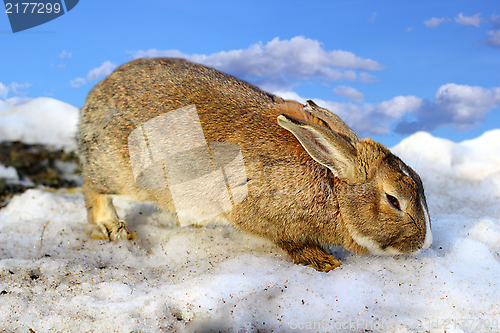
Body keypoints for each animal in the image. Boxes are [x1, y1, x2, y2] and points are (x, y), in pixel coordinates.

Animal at [78, 56, 434, 270]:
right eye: (393, 200)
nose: (427, 243)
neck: (332, 189)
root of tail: (94, 97)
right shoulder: (270, 220)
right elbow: (292, 244)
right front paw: (325, 263)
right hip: (117, 170)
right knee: (92, 186)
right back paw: (113, 228)